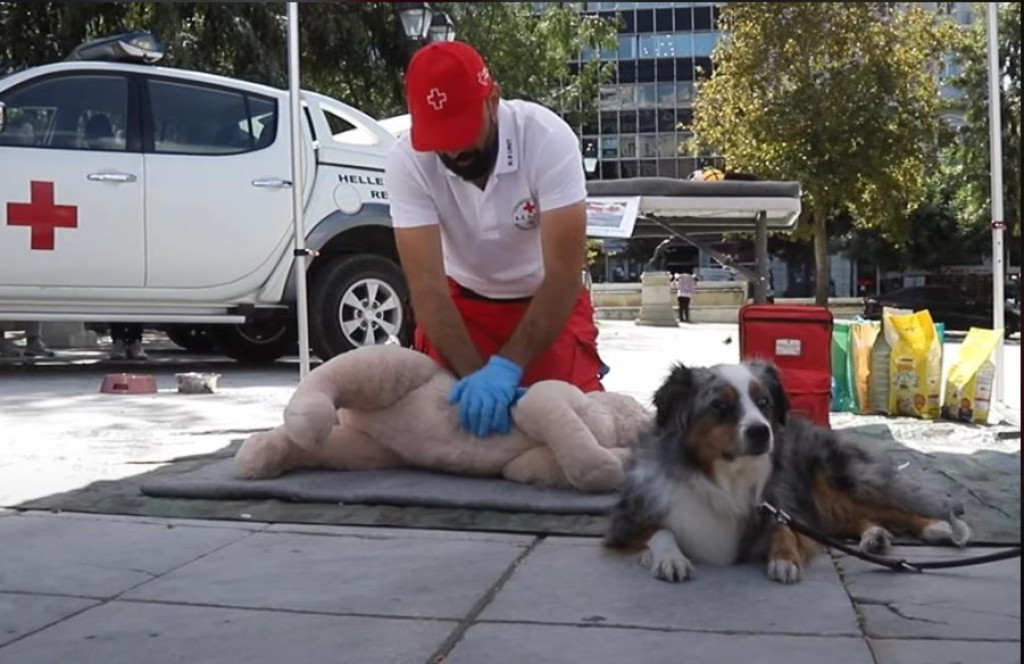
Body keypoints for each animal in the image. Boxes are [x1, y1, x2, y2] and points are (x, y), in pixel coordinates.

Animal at [602, 360, 970, 582]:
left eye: (763, 402)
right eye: (719, 405)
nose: (761, 432)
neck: (724, 479)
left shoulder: (783, 505)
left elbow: (785, 529)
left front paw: (784, 559)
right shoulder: (624, 524)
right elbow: (661, 532)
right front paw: (671, 559)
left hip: (835, 482)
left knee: (889, 508)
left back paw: (933, 528)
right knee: (857, 519)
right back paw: (876, 537)